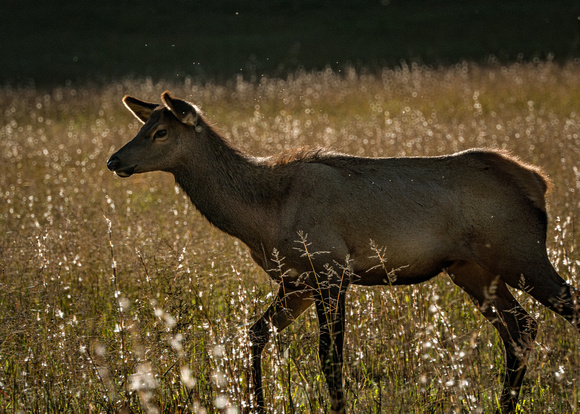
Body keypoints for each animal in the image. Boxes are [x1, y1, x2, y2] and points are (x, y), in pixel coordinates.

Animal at [106, 91, 576, 414]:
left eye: (160, 132)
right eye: (139, 128)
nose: (114, 161)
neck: (259, 217)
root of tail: (539, 182)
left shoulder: (330, 271)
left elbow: (330, 358)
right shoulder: (296, 281)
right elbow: (254, 334)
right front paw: (257, 403)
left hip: (520, 253)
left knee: (565, 303)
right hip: (473, 269)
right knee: (520, 328)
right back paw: (504, 403)